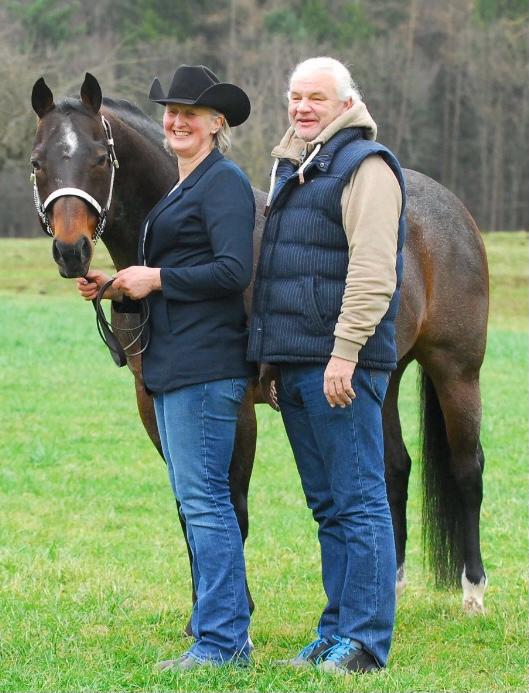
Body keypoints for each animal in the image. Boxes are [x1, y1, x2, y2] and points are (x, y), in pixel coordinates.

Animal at [30, 73, 489, 618]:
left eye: (101, 157)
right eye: (37, 161)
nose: (71, 251)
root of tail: (451, 209)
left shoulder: (233, 404)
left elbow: (232, 504)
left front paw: (234, 611)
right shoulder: (154, 403)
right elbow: (188, 508)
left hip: (456, 370)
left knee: (467, 470)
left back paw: (474, 591)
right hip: (382, 376)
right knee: (394, 469)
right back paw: (390, 588)